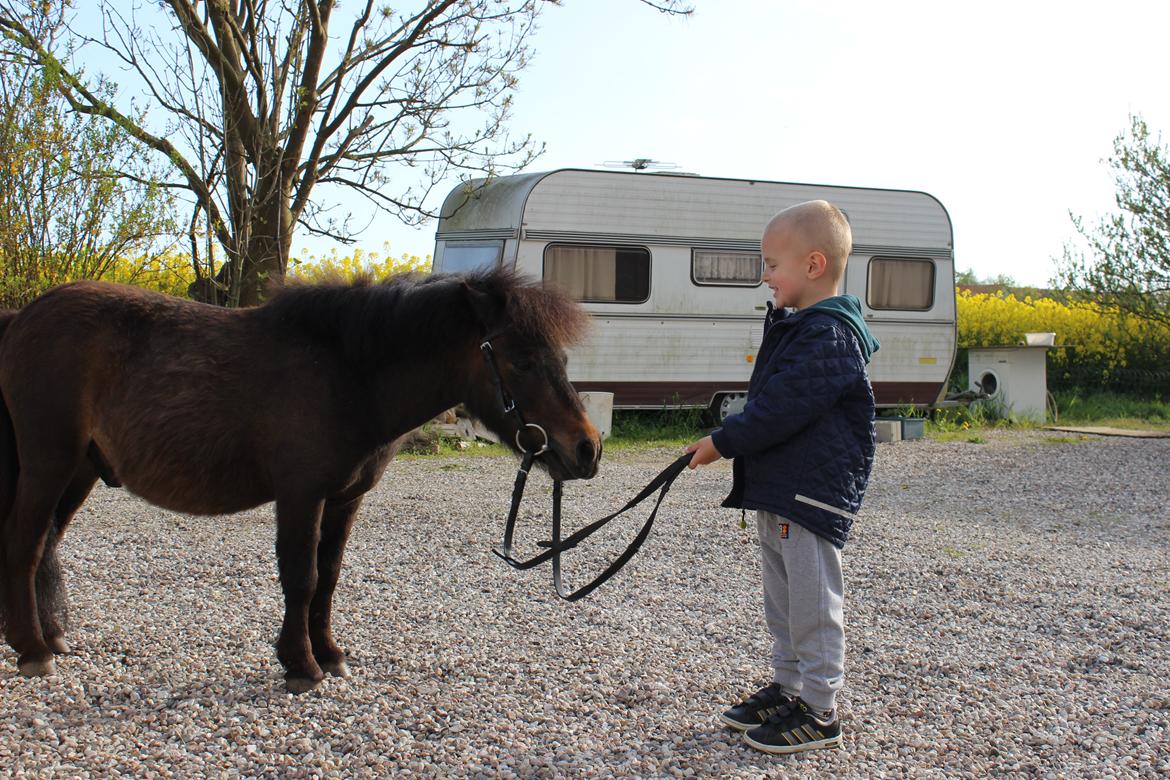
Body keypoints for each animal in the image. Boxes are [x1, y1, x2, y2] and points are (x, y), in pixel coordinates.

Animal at [0, 268, 599, 687]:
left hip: (79, 471)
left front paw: (328, 654)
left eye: (560, 358)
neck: (348, 373)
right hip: (50, 462)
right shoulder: (301, 495)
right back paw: (32, 651)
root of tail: (22, 317)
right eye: (520, 360)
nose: (587, 448)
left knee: (46, 544)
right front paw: (300, 665)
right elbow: (301, 576)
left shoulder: (344, 500)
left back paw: (50, 638)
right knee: (25, 545)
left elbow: (328, 578)